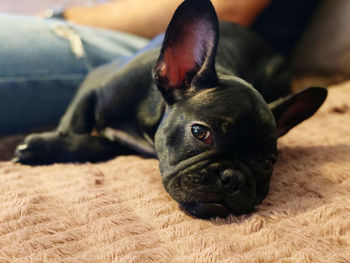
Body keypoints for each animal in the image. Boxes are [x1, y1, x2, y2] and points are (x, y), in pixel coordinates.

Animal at [13, 0, 326, 219]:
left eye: (268, 163)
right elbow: (74, 124)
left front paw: (43, 146)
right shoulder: (93, 83)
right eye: (200, 133)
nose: (234, 177)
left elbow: (99, 145)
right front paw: (47, 144)